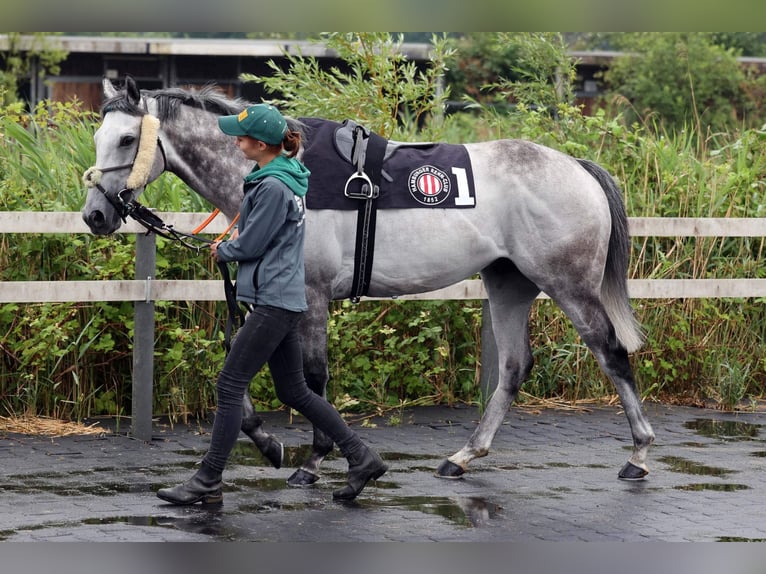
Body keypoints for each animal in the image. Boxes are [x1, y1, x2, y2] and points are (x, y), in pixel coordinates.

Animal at [84, 76, 656, 490]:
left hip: (569, 285)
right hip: (508, 282)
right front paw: (268, 442)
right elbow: (240, 376)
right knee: (515, 367)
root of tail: (575, 166)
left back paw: (639, 454)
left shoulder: (312, 296)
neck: (289, 172)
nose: (95, 215)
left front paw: (314, 460)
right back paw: (463, 456)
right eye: (97, 138)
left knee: (611, 353)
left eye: (128, 139)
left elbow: (312, 380)